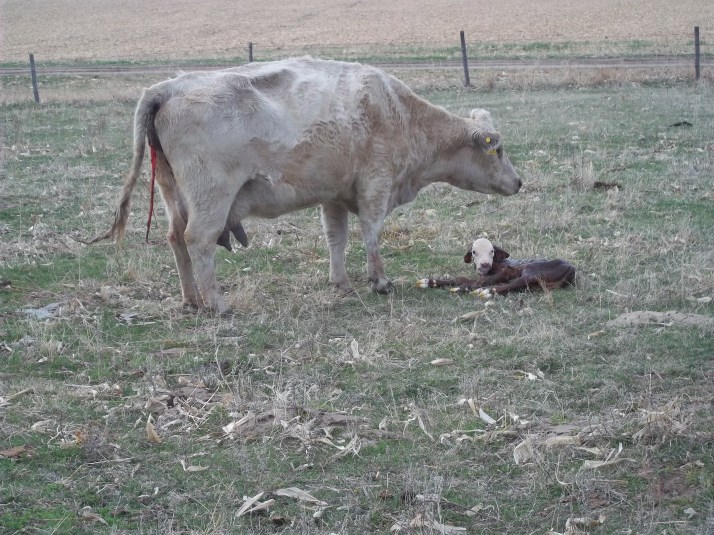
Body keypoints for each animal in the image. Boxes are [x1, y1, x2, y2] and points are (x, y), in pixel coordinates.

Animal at [90, 57, 521, 314]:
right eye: (497, 148)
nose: (518, 181)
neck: (399, 112)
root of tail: (168, 87)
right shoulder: (375, 187)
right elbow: (371, 235)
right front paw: (380, 281)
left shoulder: (334, 196)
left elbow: (337, 239)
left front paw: (341, 282)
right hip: (211, 198)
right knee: (198, 241)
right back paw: (217, 302)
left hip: (173, 195)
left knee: (176, 240)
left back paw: (192, 299)